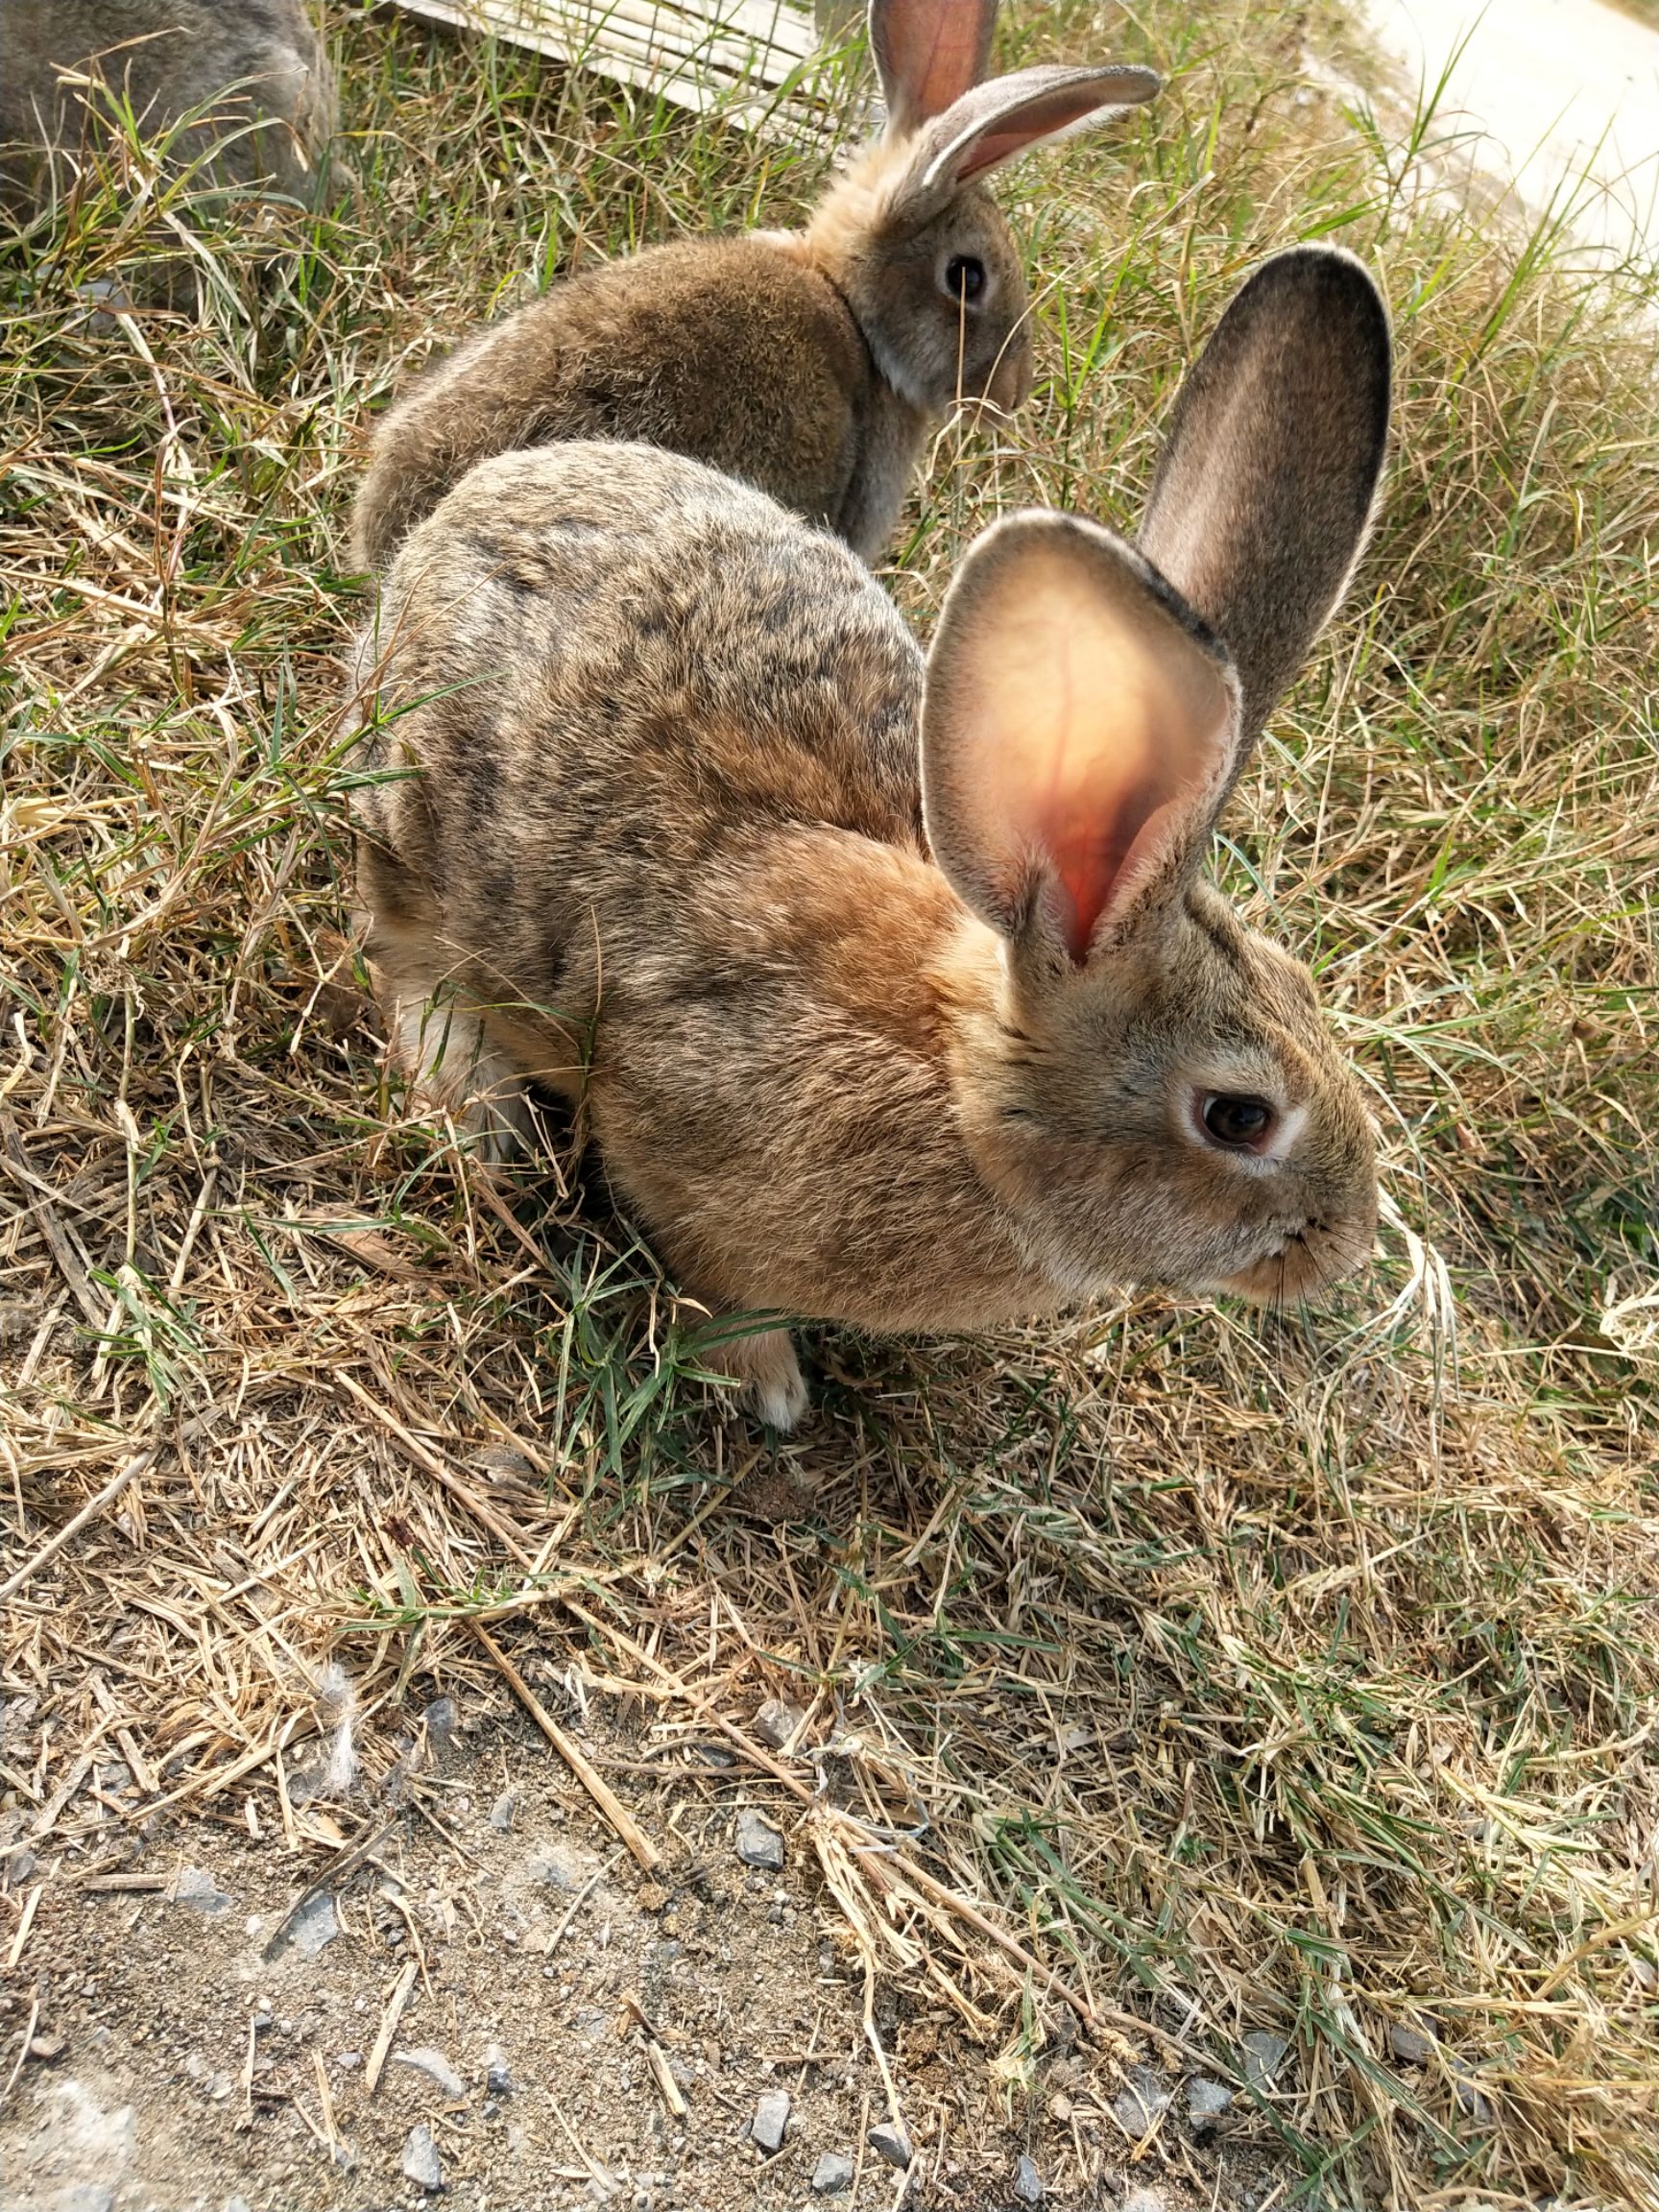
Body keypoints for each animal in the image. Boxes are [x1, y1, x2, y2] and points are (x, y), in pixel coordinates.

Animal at [358, 242, 1398, 1424]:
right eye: (1237, 1118)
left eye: (1306, 987)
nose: (1345, 1250)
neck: (961, 1087)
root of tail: (469, 505)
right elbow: (714, 1279)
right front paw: (765, 1386)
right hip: (416, 821)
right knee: (403, 948)